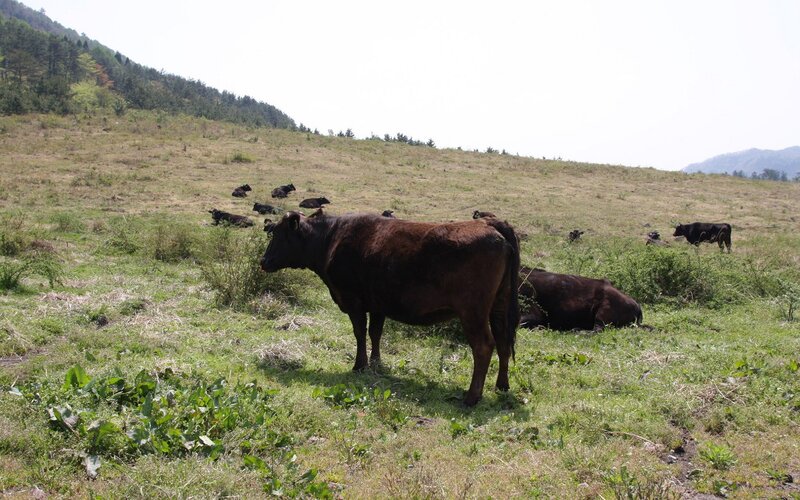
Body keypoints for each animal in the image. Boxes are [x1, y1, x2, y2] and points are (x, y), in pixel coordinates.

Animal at [260, 211, 521, 406]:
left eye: (279, 234)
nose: (263, 261)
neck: (332, 239)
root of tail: (490, 223)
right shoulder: (378, 305)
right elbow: (375, 333)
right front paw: (376, 364)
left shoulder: (354, 301)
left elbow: (360, 333)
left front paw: (360, 365)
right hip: (499, 306)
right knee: (503, 342)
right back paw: (502, 386)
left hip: (473, 312)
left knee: (484, 346)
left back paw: (471, 397)